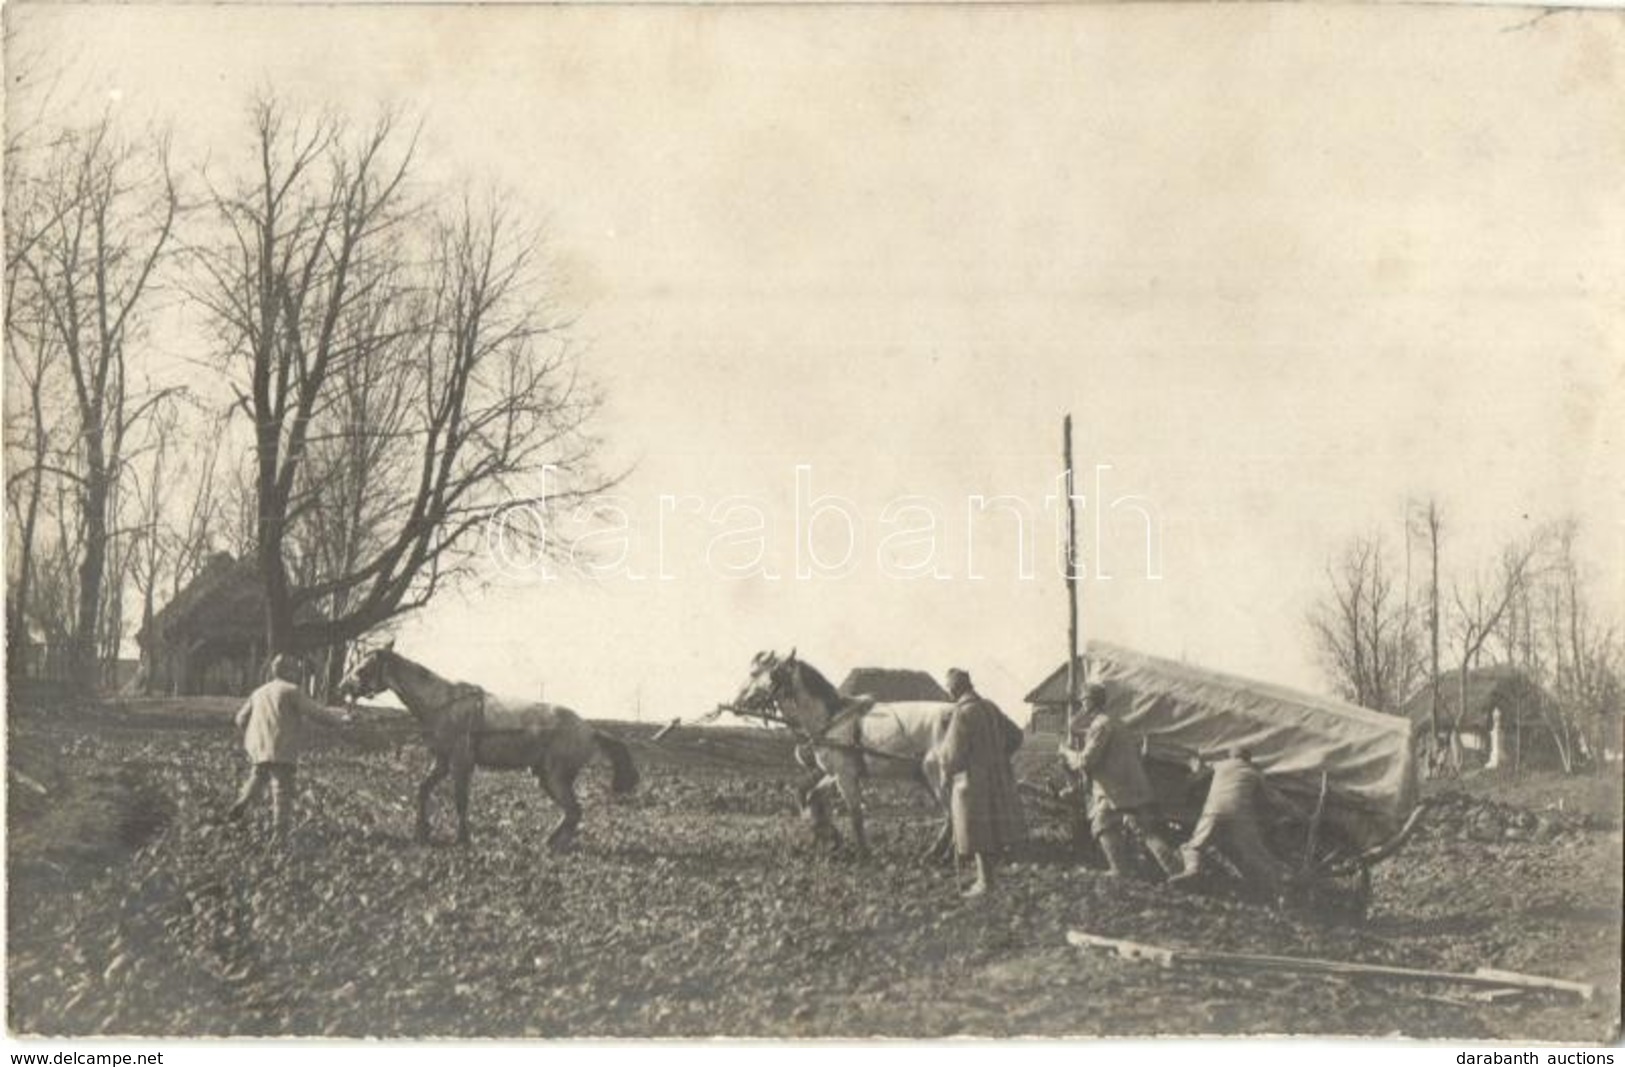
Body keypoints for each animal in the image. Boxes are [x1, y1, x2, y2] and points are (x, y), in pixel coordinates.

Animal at [339, 639, 637, 851]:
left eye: (363, 668)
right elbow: (422, 790)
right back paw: (552, 841)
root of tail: (589, 729)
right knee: (571, 813)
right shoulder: (442, 762)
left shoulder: (461, 763)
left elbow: (461, 800)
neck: (444, 703)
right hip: (546, 778)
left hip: (555, 778)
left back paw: (554, 844)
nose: (343, 687)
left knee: (574, 811)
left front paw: (462, 838)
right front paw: (422, 831)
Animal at [734, 649, 949, 857]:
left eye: (754, 673)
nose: (736, 703)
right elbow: (813, 794)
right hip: (925, 777)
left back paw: (934, 853)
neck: (831, 718)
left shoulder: (845, 775)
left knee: (950, 814)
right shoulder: (834, 773)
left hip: (936, 776)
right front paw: (825, 834)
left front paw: (863, 854)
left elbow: (855, 815)